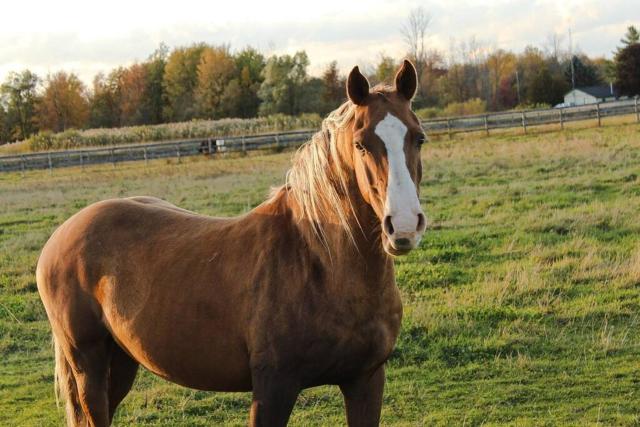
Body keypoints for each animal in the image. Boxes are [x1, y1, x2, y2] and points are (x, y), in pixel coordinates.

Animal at [38, 61, 430, 427]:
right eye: (361, 143)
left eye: (419, 138)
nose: (403, 226)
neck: (322, 267)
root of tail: (60, 236)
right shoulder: (273, 388)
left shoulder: (366, 380)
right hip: (88, 362)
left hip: (120, 360)